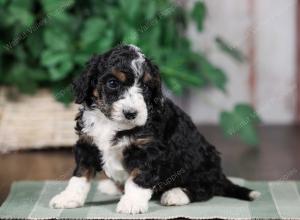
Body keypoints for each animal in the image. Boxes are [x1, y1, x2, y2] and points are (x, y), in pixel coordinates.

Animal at [49, 44, 260, 215]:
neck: (112, 123)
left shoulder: (148, 150)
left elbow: (138, 178)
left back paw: (175, 194)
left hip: (201, 165)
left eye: (146, 87)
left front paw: (131, 203)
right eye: (112, 83)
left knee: (205, 189)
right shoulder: (87, 144)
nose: (131, 113)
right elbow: (80, 175)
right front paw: (68, 197)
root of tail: (219, 174)